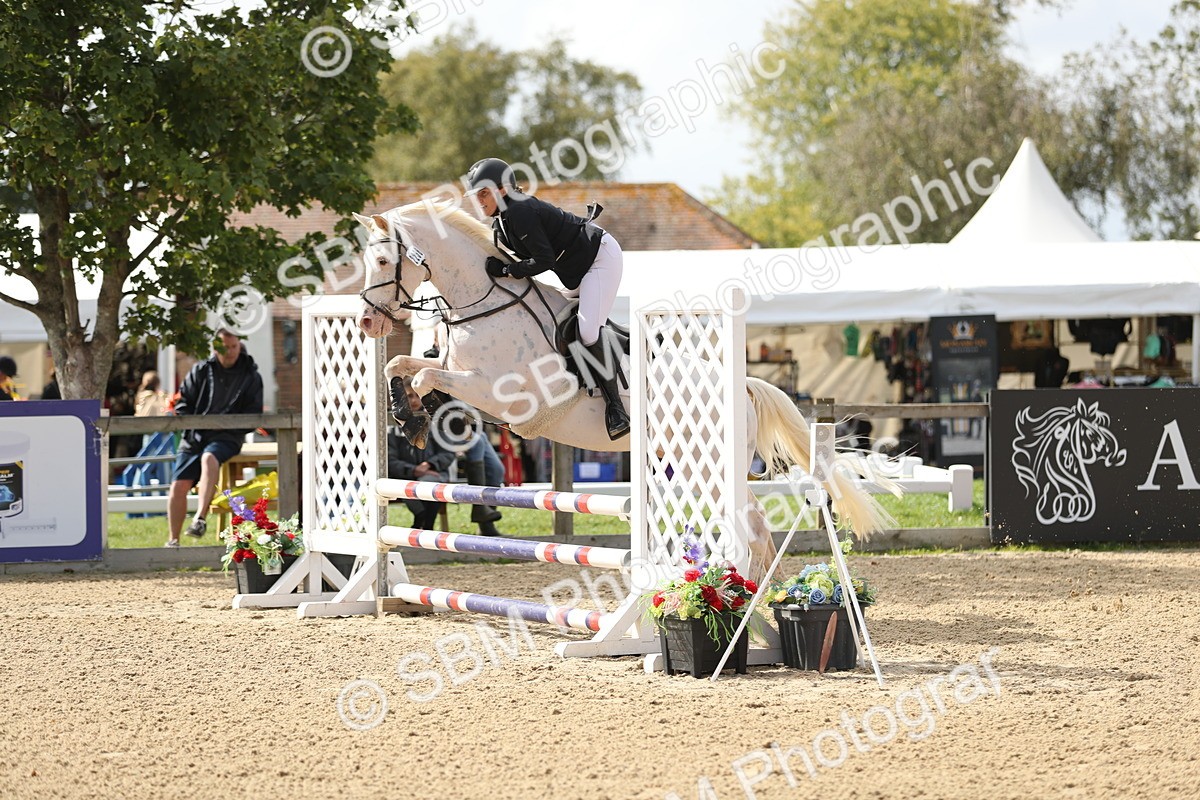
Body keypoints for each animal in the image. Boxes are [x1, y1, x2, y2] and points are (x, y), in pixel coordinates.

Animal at [353, 202, 897, 581]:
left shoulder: (501, 395)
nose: (366, 322)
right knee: (757, 529)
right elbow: (404, 368)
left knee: (756, 530)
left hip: (707, 467)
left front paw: (415, 416)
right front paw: (409, 417)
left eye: (381, 259)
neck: (486, 304)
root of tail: (741, 384)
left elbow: (425, 378)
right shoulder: (459, 377)